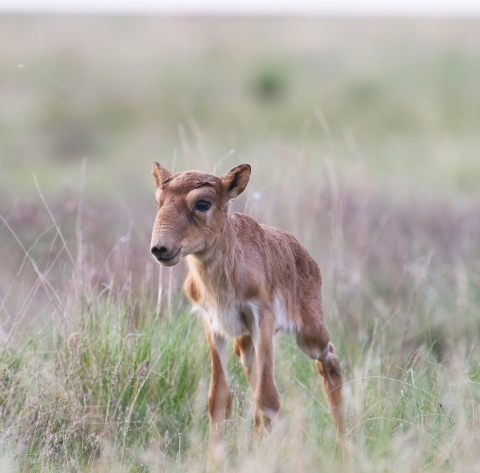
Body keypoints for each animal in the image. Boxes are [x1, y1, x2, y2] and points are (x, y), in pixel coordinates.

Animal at [150, 163, 344, 460]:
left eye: (203, 203)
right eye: (159, 201)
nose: (160, 248)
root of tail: (306, 255)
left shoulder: (261, 317)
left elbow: (269, 398)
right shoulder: (213, 323)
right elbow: (219, 398)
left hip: (310, 335)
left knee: (330, 360)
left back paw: (347, 446)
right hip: (244, 345)